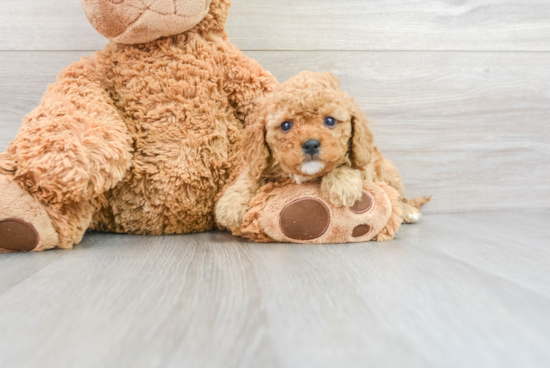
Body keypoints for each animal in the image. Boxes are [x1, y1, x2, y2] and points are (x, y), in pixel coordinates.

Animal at [218, 71, 430, 230]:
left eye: (329, 121)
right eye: (286, 125)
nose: (311, 144)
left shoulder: (363, 166)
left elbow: (344, 165)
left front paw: (343, 186)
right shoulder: (262, 163)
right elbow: (248, 177)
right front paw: (230, 205)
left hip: (388, 171)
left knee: (399, 196)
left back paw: (408, 211)